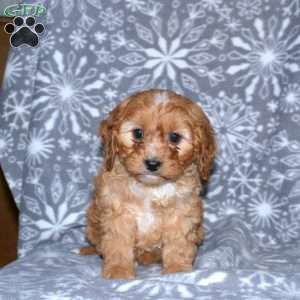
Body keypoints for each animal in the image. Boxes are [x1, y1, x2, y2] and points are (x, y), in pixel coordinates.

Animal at [79, 89, 216, 278]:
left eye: (175, 137)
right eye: (138, 133)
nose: (152, 163)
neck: (151, 188)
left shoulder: (181, 213)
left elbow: (178, 244)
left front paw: (177, 269)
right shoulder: (118, 213)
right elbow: (118, 244)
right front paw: (118, 270)